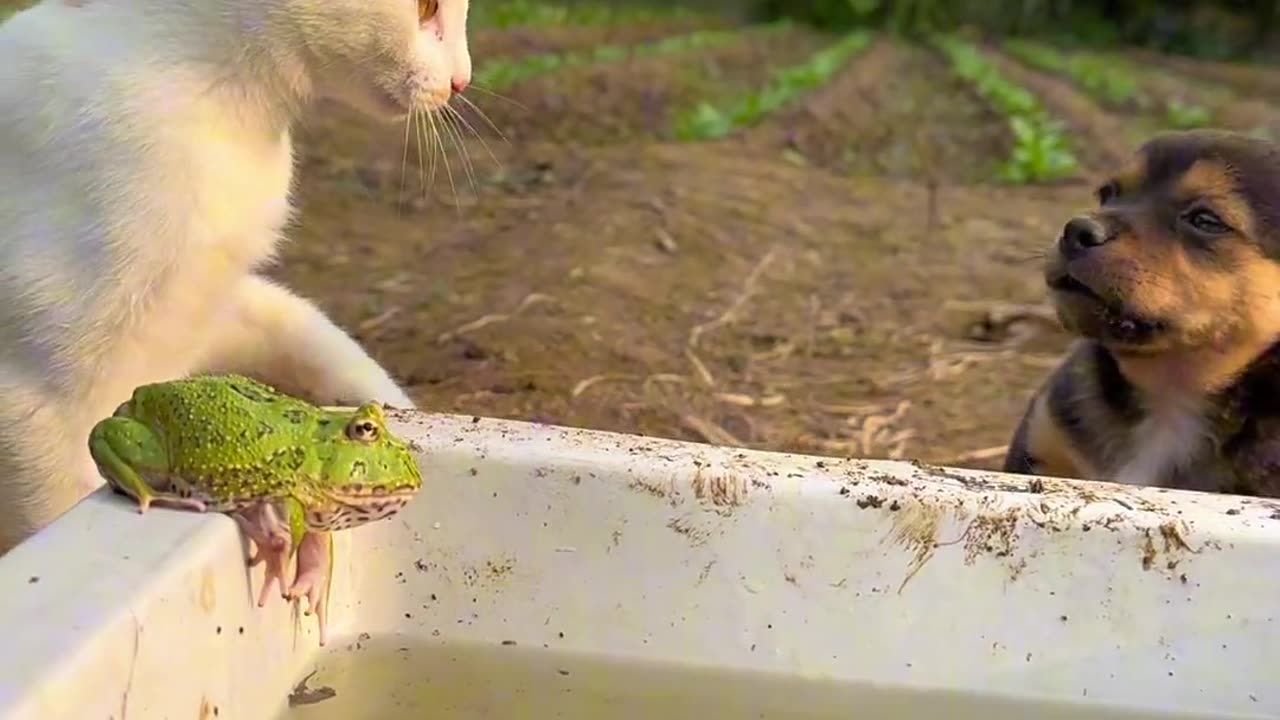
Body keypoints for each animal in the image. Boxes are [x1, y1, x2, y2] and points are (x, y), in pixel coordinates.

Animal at [0, 0, 473, 550]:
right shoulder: (36, 398)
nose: (462, 79)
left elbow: (335, 352)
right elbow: (63, 502)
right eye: (426, 9)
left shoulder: (217, 305)